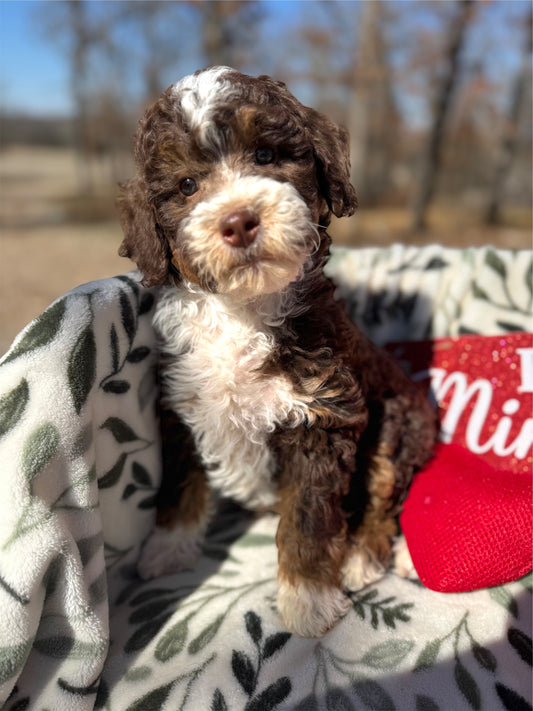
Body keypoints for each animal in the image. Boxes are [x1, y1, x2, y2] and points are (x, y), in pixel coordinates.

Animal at [117, 65, 436, 636]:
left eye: (265, 156)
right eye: (187, 186)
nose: (239, 220)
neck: (243, 311)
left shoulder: (322, 420)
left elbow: (309, 519)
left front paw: (309, 600)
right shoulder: (181, 405)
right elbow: (180, 483)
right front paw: (168, 547)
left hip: (396, 424)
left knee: (382, 497)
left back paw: (361, 556)